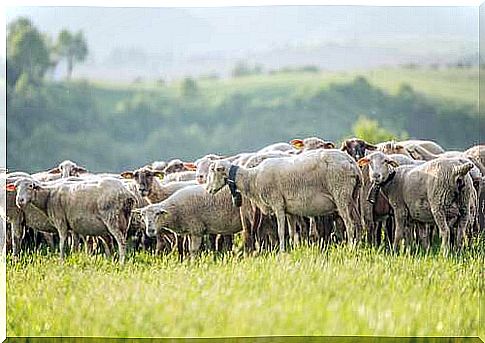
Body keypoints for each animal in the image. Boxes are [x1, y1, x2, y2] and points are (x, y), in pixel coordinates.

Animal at [203, 150, 360, 253]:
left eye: (213, 170)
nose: (207, 189)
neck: (252, 179)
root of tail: (352, 163)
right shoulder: (289, 209)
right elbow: (292, 231)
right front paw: (296, 249)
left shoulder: (277, 204)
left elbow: (280, 231)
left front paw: (282, 252)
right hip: (353, 196)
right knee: (358, 223)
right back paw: (360, 246)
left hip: (341, 193)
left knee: (350, 224)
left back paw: (351, 248)